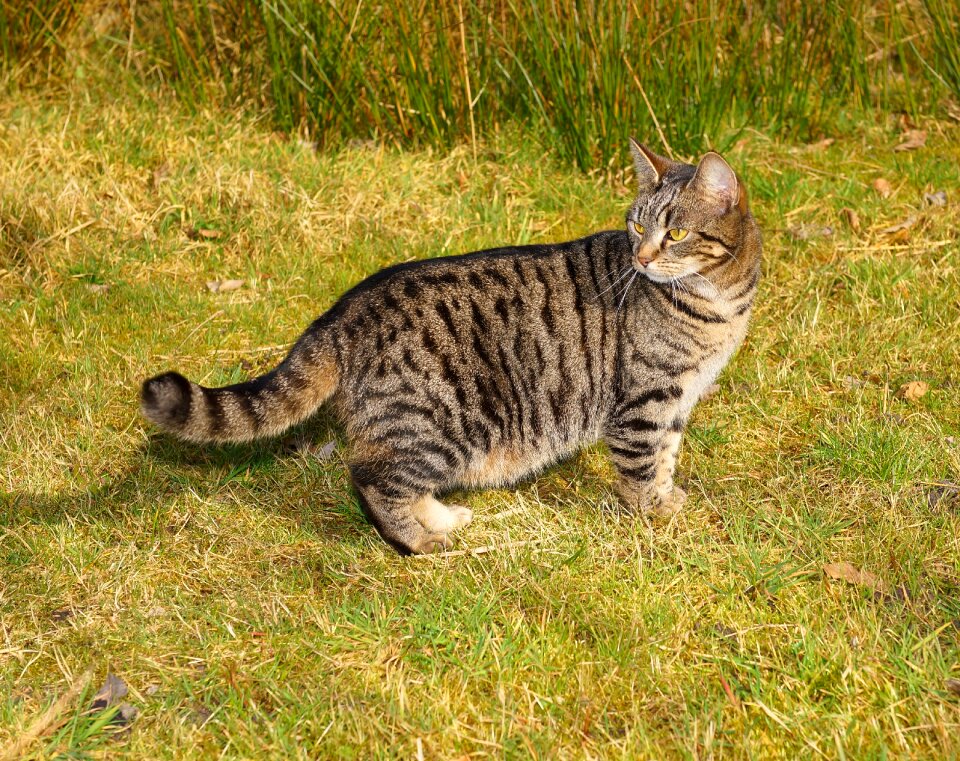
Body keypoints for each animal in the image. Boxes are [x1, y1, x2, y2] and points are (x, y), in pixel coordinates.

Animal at [142, 141, 760, 552]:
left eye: (674, 233)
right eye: (635, 226)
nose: (642, 257)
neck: (718, 304)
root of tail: (344, 311)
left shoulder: (677, 401)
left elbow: (666, 456)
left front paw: (667, 497)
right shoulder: (644, 401)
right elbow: (640, 466)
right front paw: (652, 516)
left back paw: (439, 519)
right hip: (442, 422)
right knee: (371, 478)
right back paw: (419, 541)